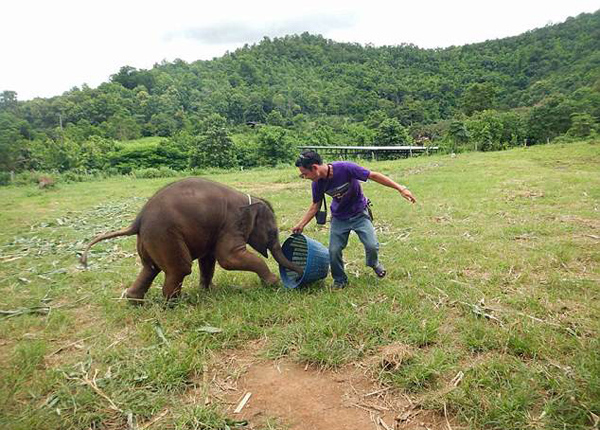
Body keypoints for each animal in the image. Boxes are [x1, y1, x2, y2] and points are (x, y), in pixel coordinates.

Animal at [81, 178, 300, 302]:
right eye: (272, 233)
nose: (298, 274)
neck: (250, 199)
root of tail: (137, 221)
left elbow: (209, 260)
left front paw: (209, 290)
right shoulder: (231, 224)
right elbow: (228, 259)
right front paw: (273, 283)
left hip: (149, 240)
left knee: (150, 269)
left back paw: (133, 300)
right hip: (164, 235)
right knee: (180, 269)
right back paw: (176, 303)